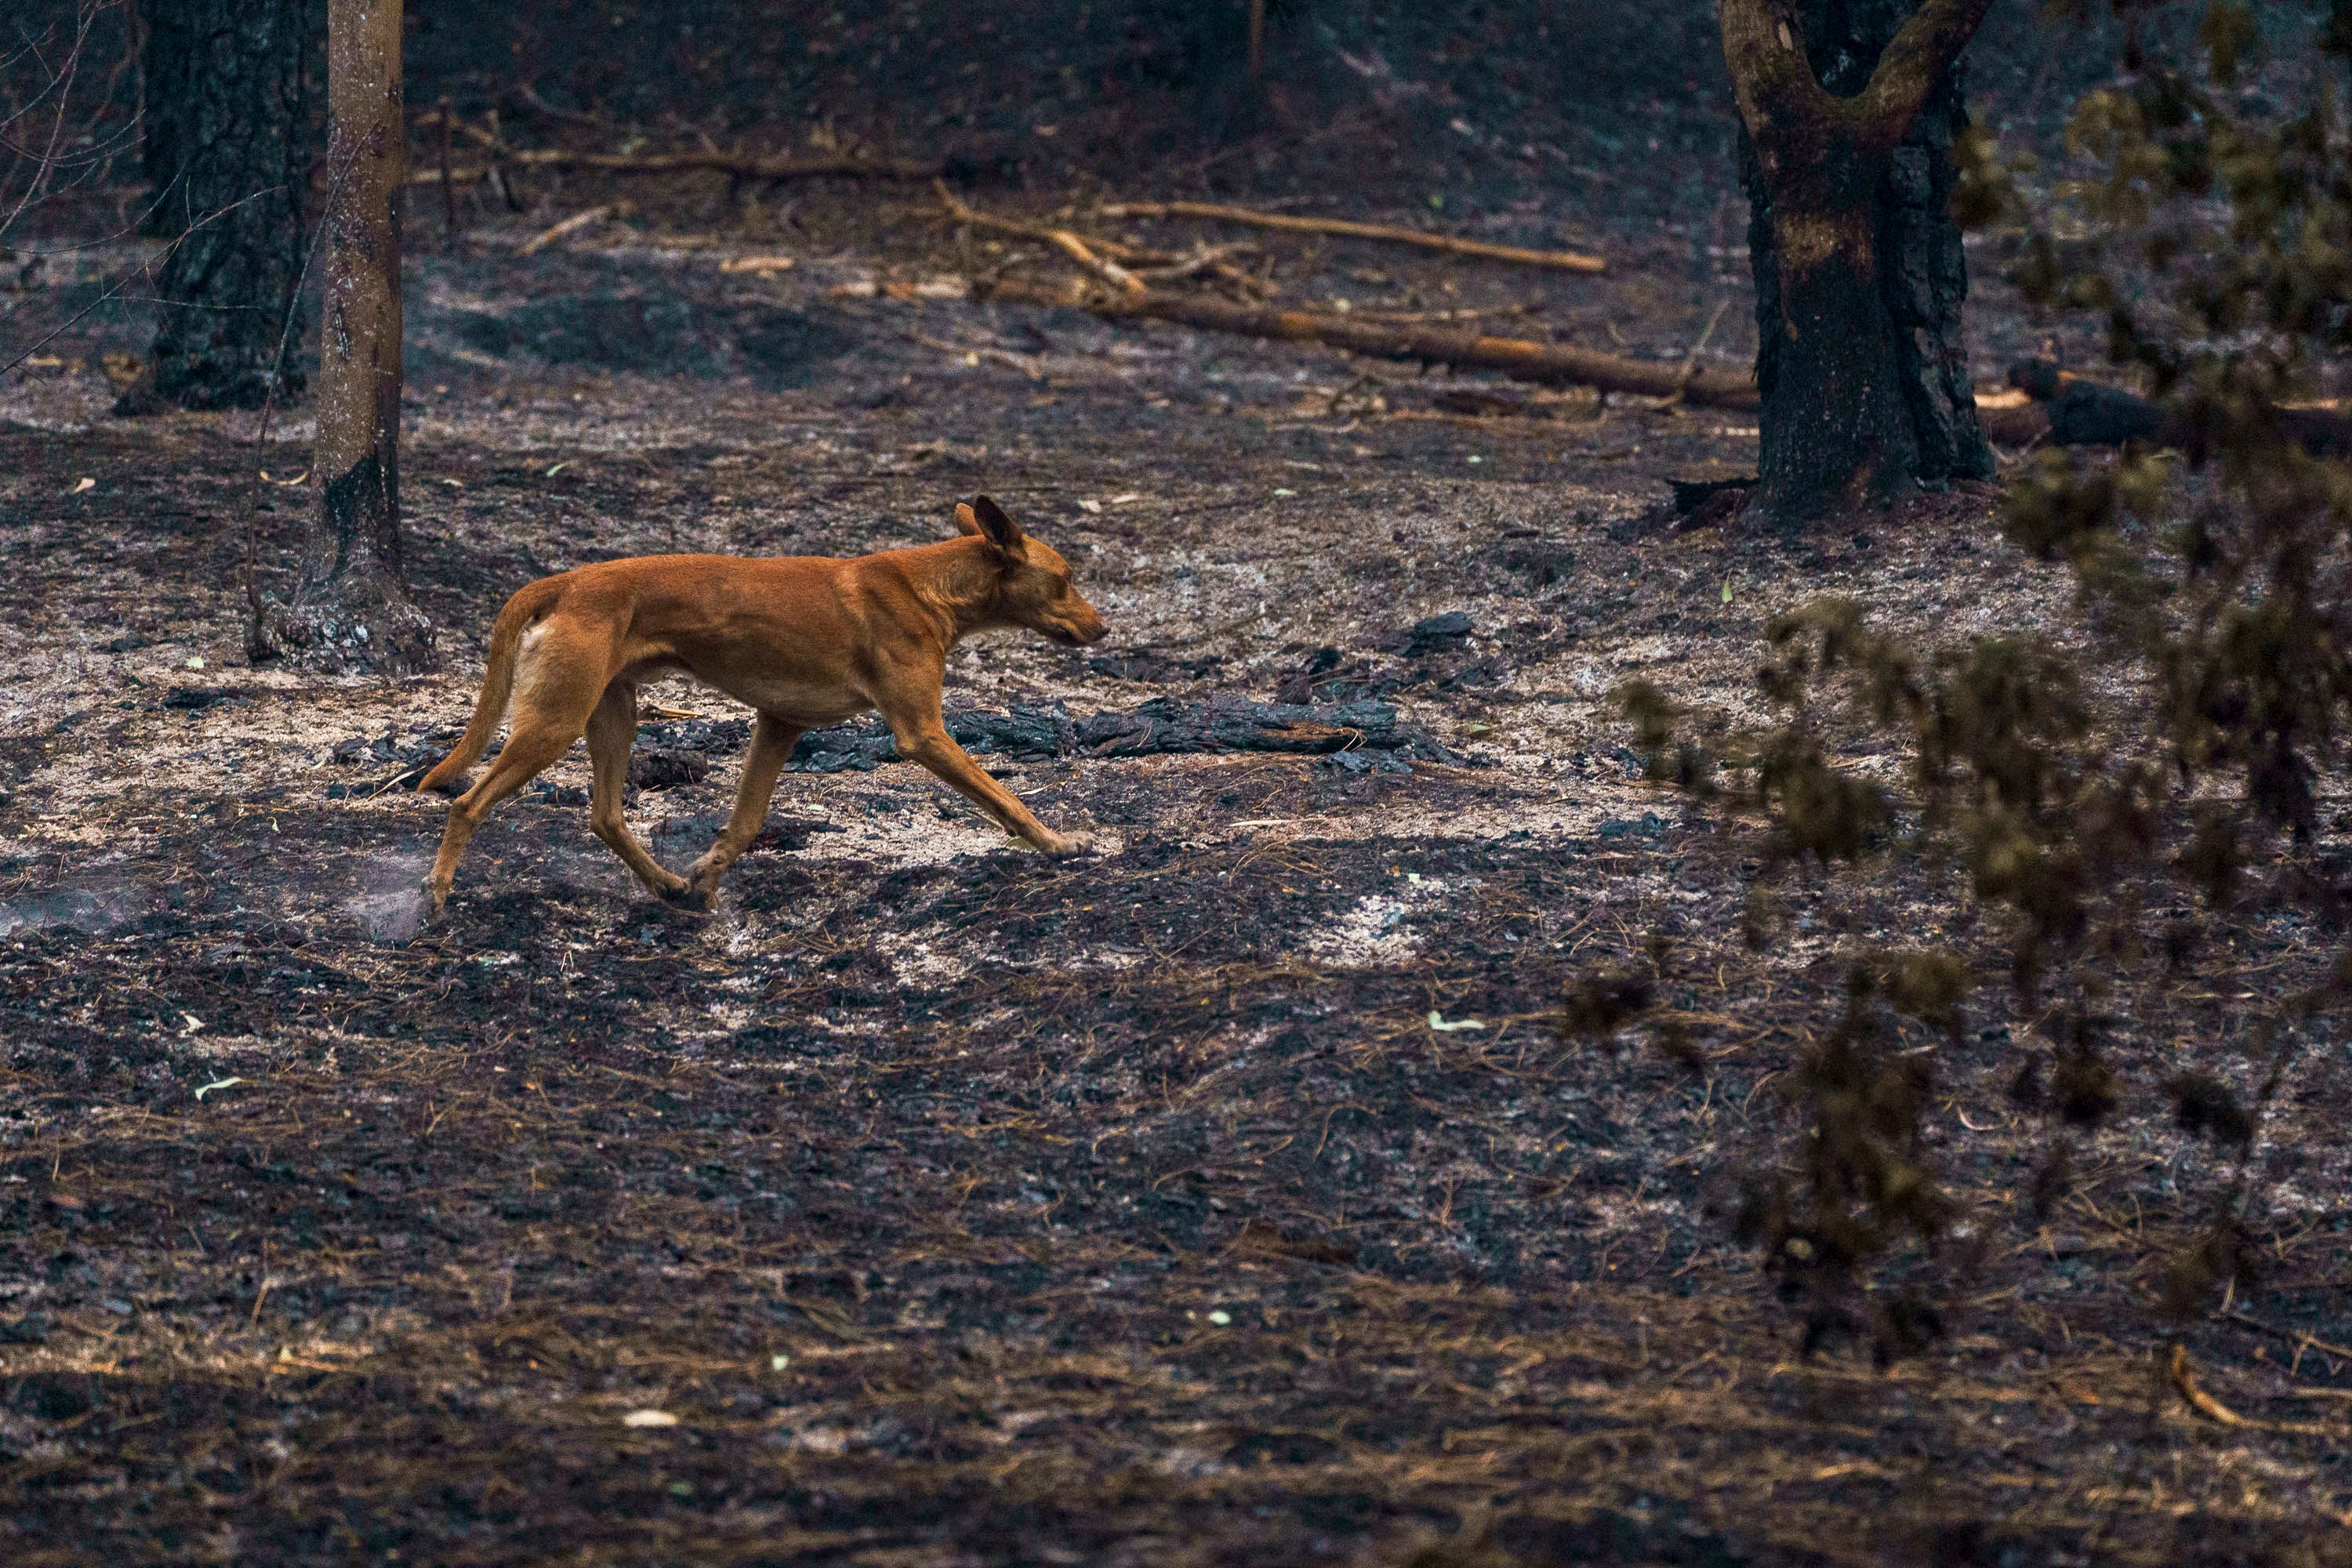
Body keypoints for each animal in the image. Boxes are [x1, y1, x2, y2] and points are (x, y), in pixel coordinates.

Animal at [416, 495, 1110, 921]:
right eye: (1067, 579)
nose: (1103, 629)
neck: (930, 587)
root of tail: (561, 581)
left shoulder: (781, 723)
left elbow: (746, 824)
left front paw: (706, 878)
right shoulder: (923, 734)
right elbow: (1005, 799)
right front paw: (1058, 843)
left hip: (614, 714)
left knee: (605, 817)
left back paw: (667, 886)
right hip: (555, 724)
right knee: (467, 803)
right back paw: (437, 894)